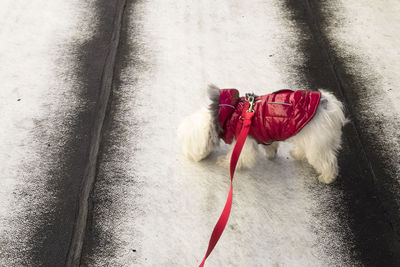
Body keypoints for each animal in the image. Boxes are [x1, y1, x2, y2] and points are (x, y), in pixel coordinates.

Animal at [178, 85, 346, 184]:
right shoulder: (265, 134)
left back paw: (327, 177)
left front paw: (225, 162)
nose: (187, 157)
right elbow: (271, 144)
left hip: (317, 144)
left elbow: (239, 157)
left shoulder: (243, 141)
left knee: (327, 161)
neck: (230, 114)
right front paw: (271, 153)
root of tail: (330, 107)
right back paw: (297, 154)